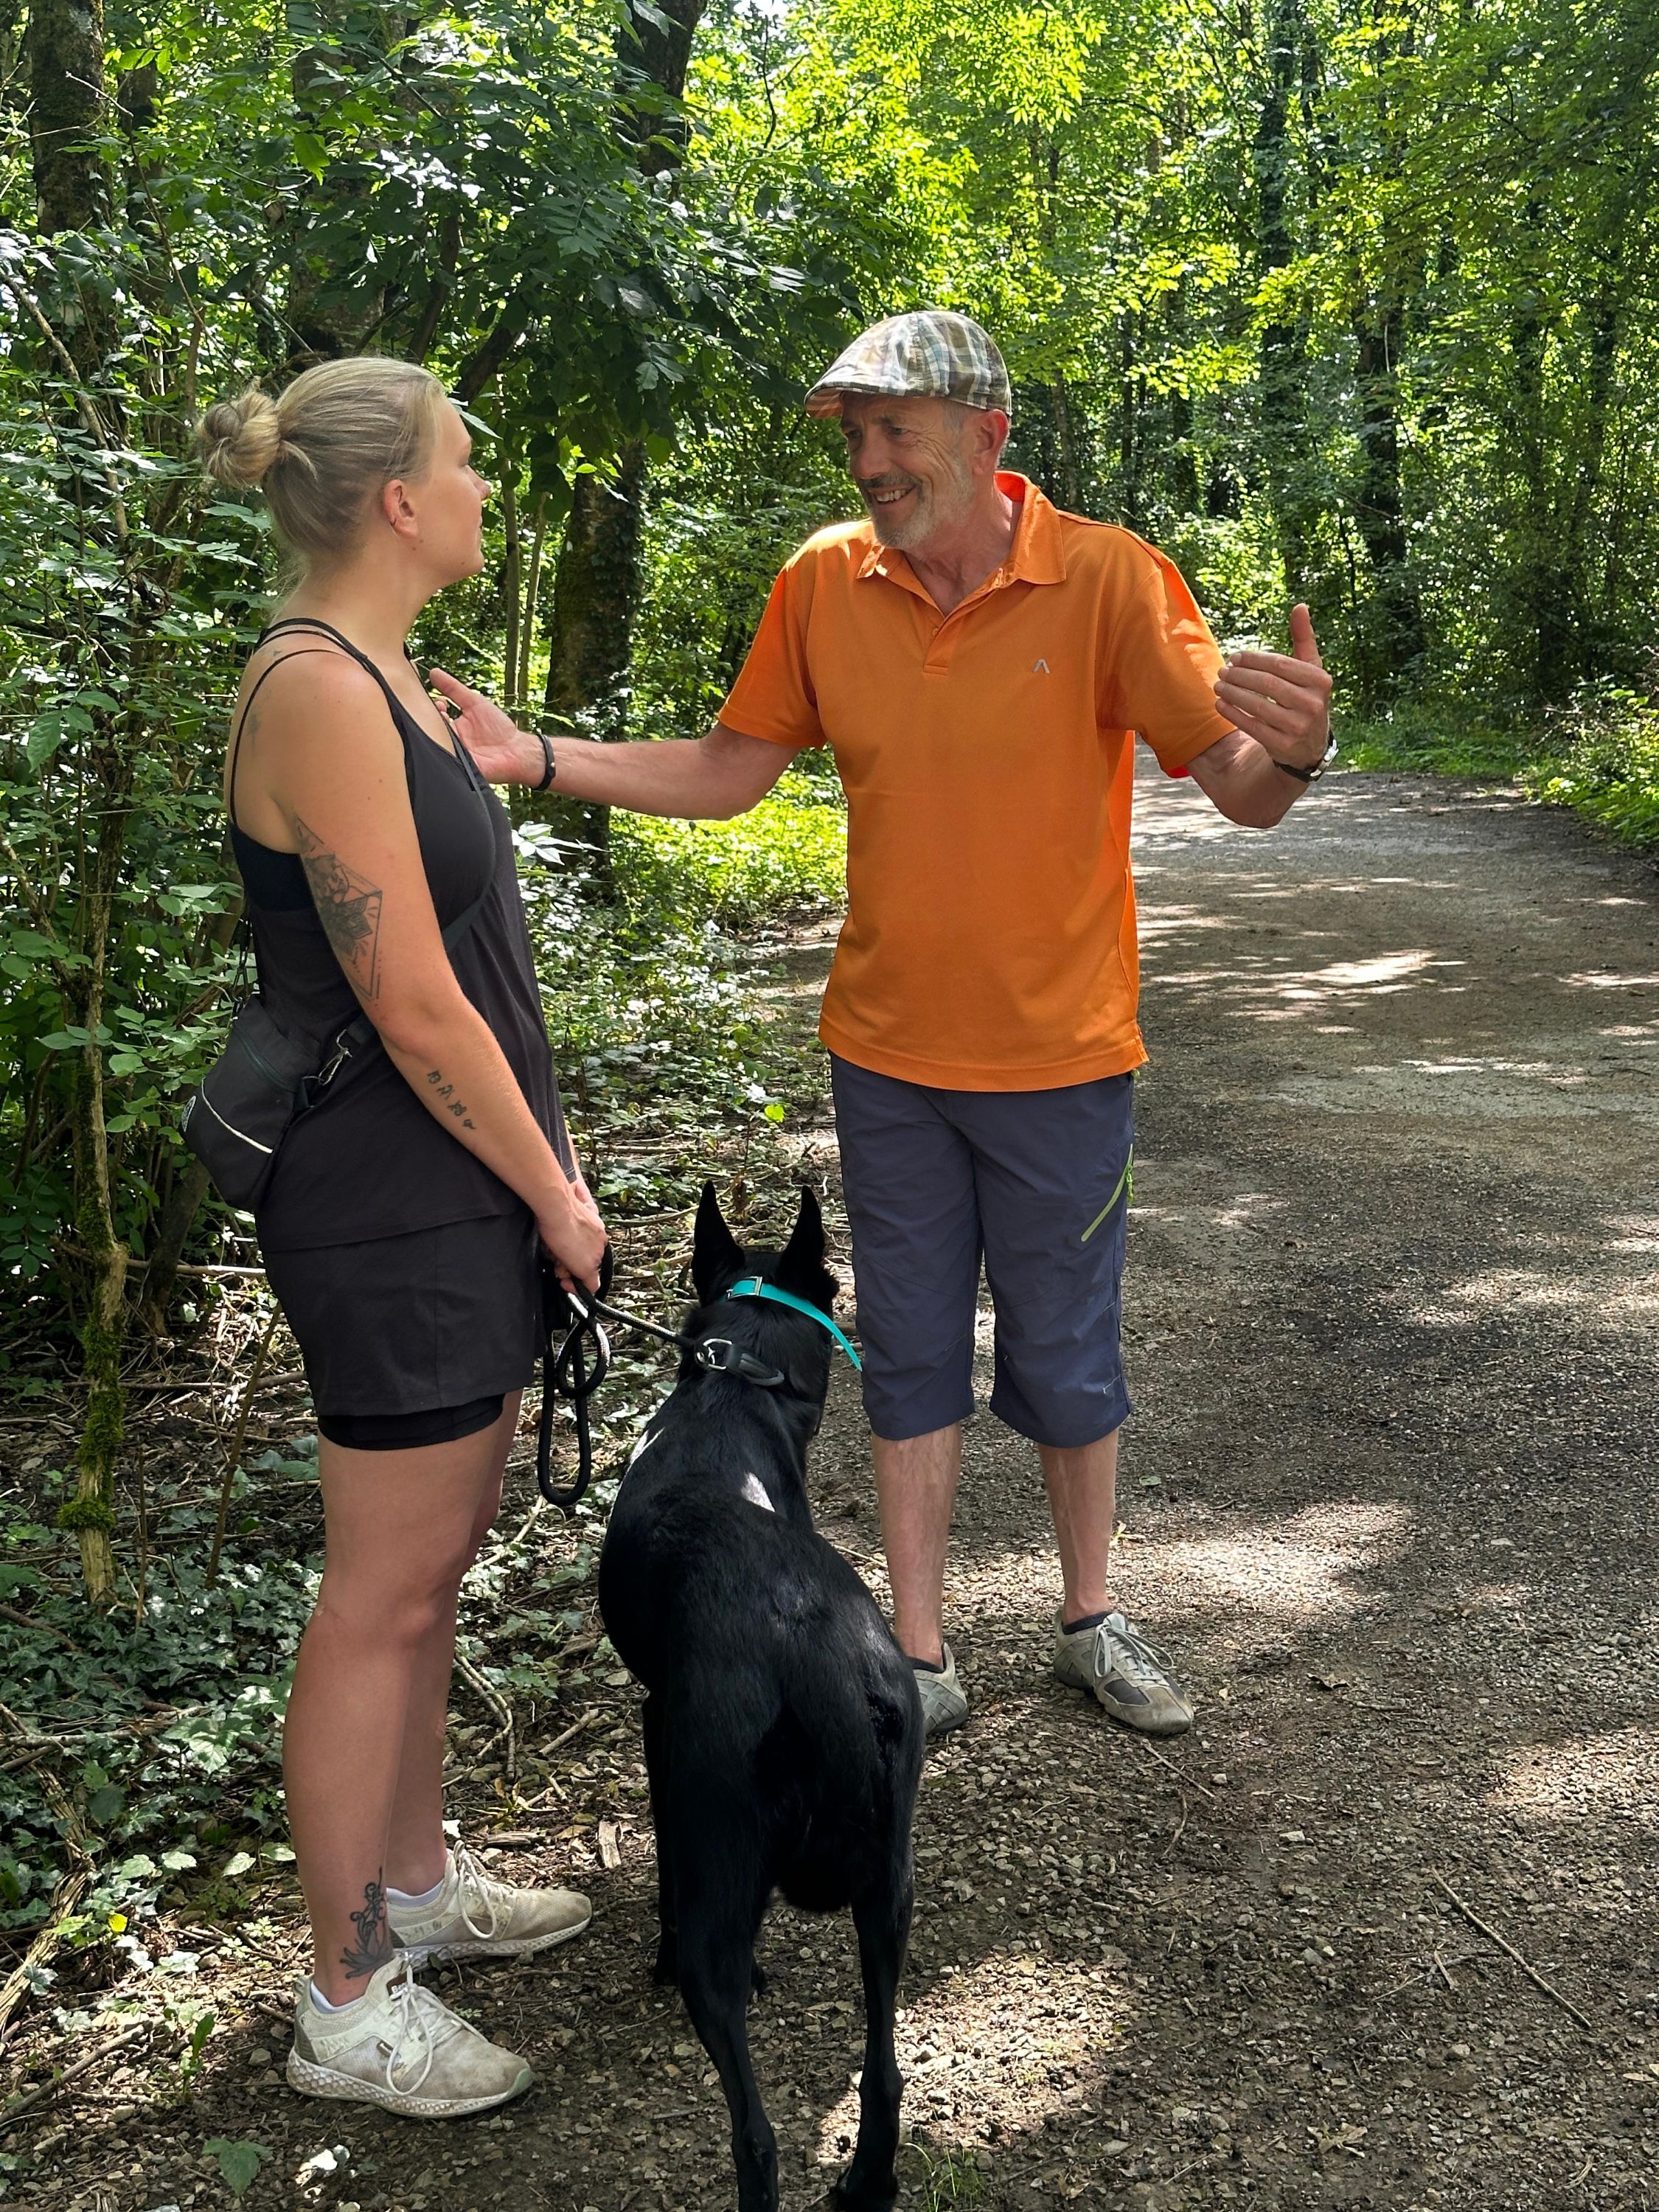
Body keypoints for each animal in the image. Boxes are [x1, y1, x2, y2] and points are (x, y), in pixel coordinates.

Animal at [602, 1194, 938, 2212]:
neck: (731, 1394)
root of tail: (818, 1664)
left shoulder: (657, 1727)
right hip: (891, 1890)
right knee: (884, 2072)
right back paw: (868, 2181)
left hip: (726, 1863)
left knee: (755, 2137)